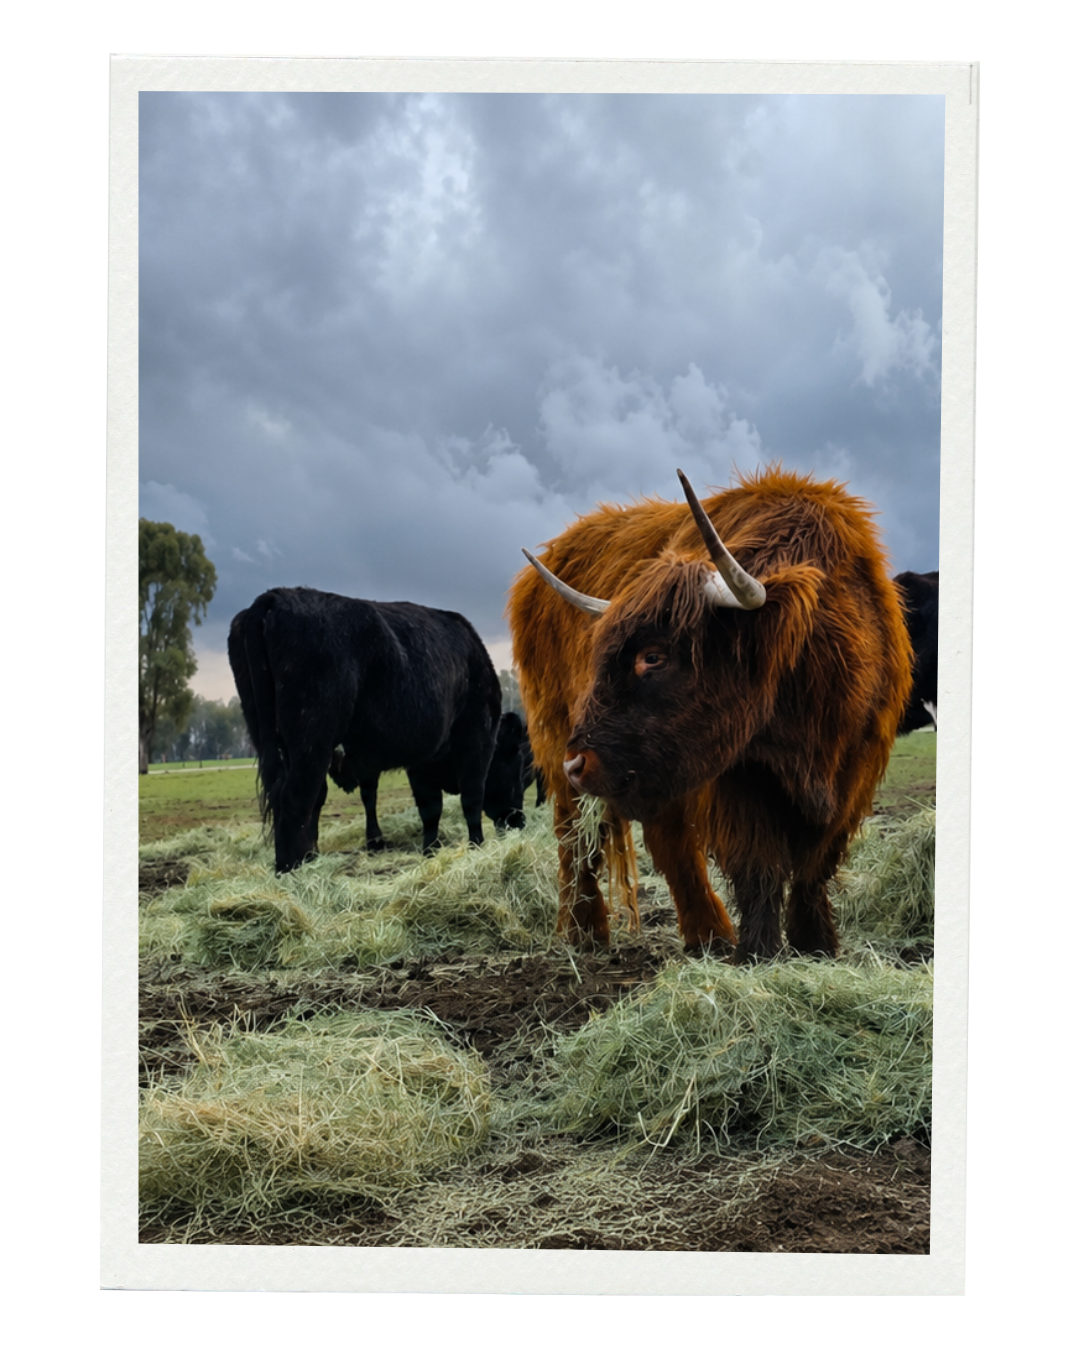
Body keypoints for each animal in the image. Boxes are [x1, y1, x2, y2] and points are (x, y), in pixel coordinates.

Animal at [228, 587, 502, 872]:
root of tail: (275, 596)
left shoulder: (419, 758)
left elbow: (428, 807)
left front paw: (430, 850)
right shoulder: (478, 736)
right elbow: (471, 796)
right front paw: (476, 847)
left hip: (267, 731)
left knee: (298, 792)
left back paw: (308, 858)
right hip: (312, 736)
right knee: (295, 796)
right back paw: (292, 867)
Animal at [507, 467, 913, 961]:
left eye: (653, 656)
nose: (578, 763)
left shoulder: (855, 771)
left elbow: (815, 865)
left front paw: (816, 944)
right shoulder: (734, 778)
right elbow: (759, 864)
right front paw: (759, 950)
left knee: (667, 839)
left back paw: (708, 934)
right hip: (557, 738)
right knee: (577, 836)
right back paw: (585, 930)